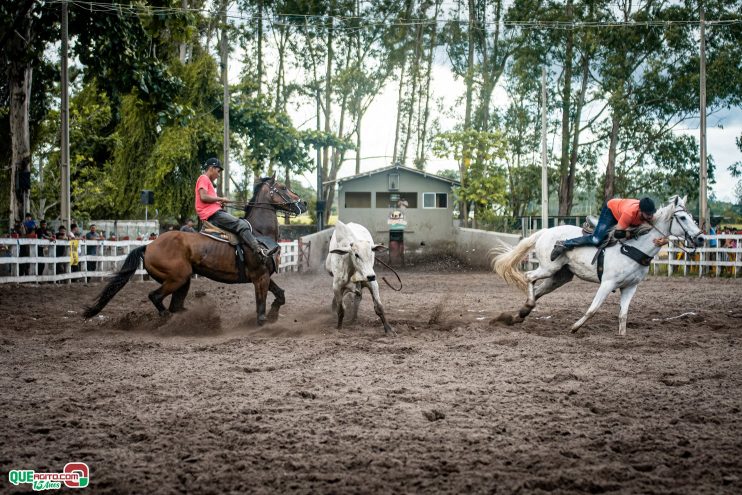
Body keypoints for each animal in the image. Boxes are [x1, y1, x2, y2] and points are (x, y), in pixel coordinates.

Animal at [84, 176, 308, 328]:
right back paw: (171, 321)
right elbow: (260, 307)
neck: (258, 234)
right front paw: (265, 320)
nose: (303, 203)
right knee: (155, 297)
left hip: (183, 281)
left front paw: (273, 314)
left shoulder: (265, 276)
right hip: (177, 278)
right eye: (283, 188)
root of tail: (149, 246)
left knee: (173, 304)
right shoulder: (259, 277)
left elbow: (280, 295)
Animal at [492, 196, 708, 336]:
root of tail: (545, 231)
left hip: (561, 276)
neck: (635, 247)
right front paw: (575, 327)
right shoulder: (607, 283)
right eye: (682, 218)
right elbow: (593, 309)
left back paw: (520, 315)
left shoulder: (630, 287)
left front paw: (622, 336)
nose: (701, 238)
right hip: (548, 268)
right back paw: (527, 306)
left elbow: (623, 314)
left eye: (691, 216)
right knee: (529, 277)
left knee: (537, 290)